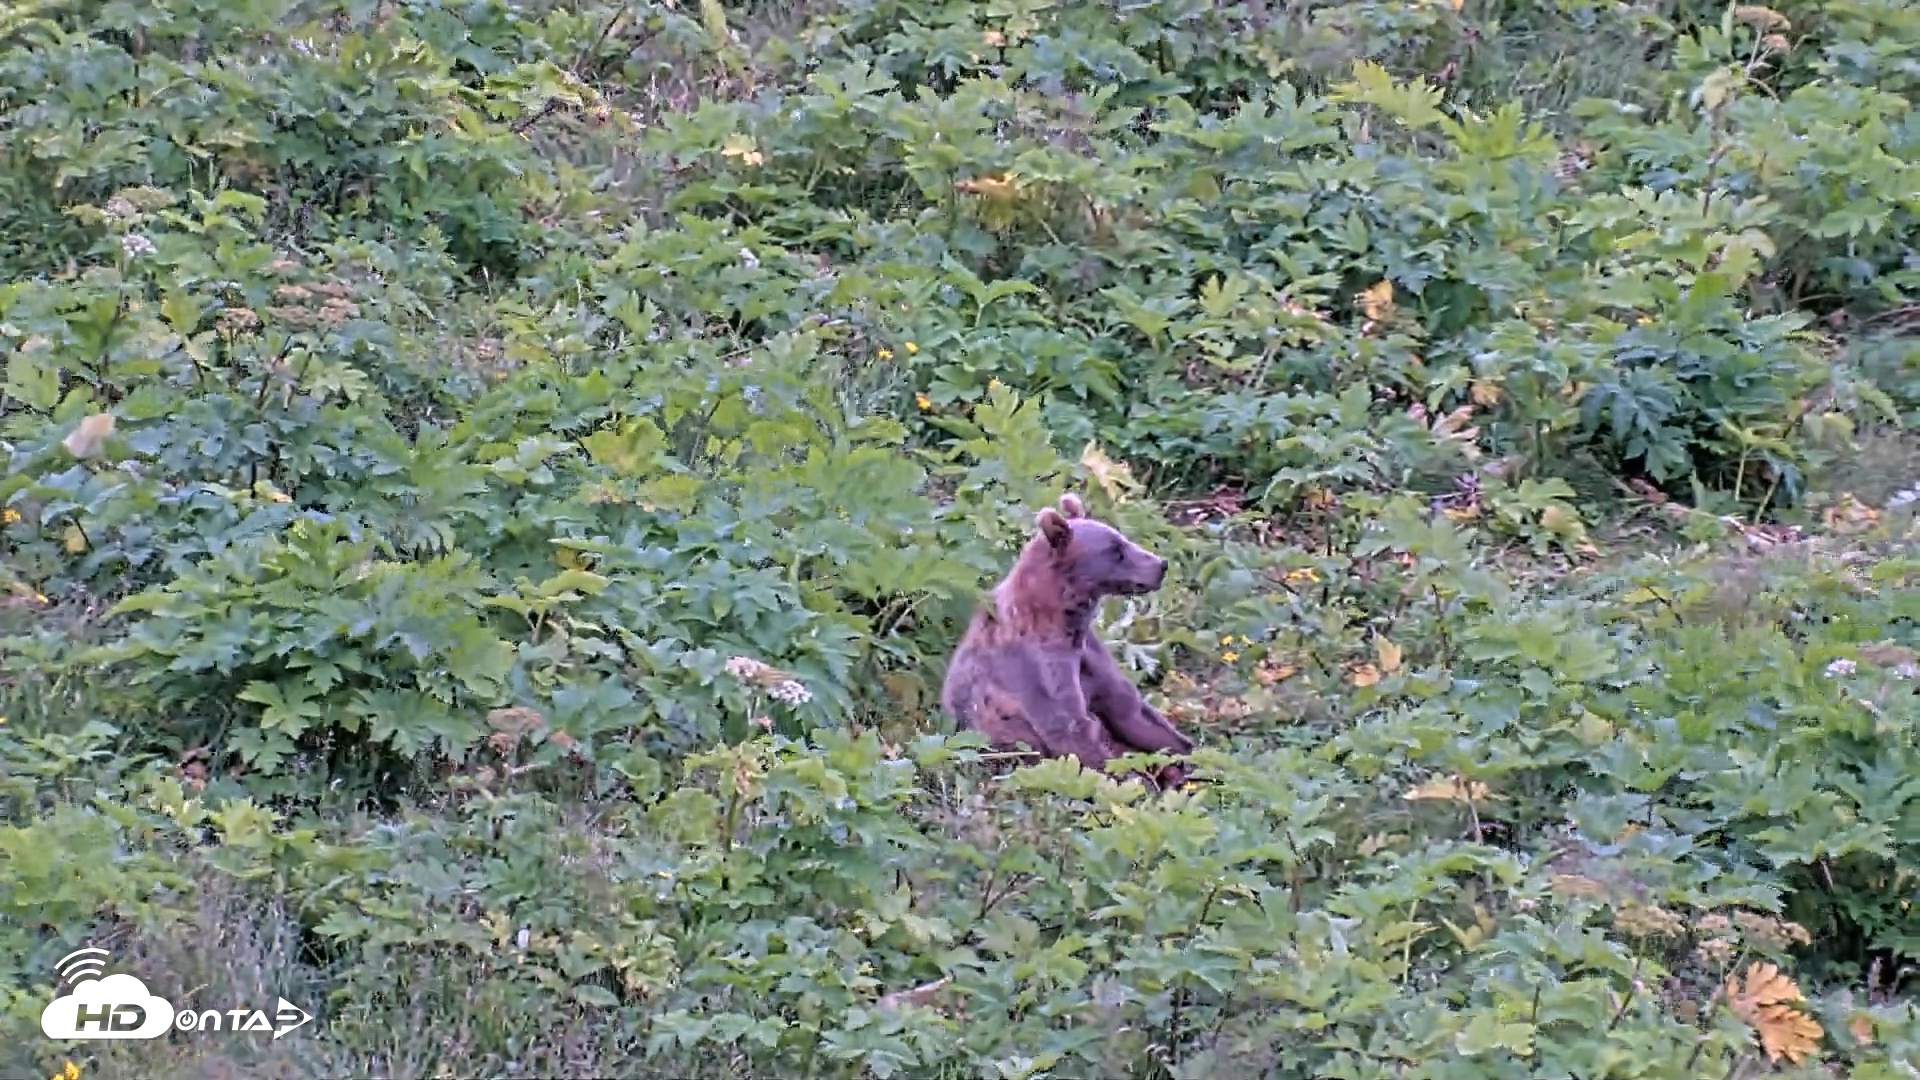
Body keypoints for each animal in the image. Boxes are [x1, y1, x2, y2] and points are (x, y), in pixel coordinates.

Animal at [940, 492, 1197, 789]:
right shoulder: (1038, 667)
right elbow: (1071, 729)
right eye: (1115, 550)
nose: (1160, 565)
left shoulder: (1089, 654)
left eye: (1121, 538)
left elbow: (1131, 711)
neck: (1063, 621)